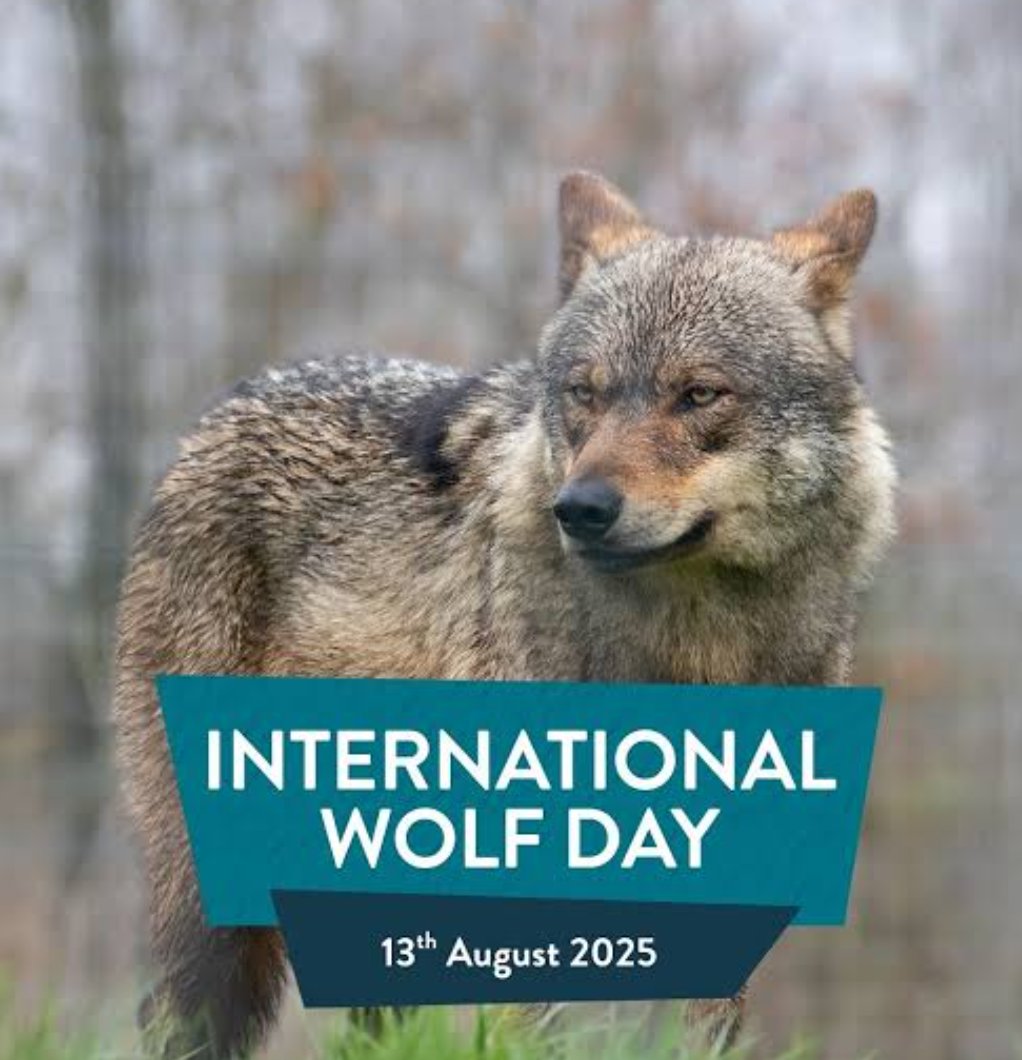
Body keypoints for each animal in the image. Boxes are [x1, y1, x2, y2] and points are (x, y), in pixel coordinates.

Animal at [114, 171, 896, 1057]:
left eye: (699, 395)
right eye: (584, 393)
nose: (581, 508)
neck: (696, 648)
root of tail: (218, 414)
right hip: (209, 907)